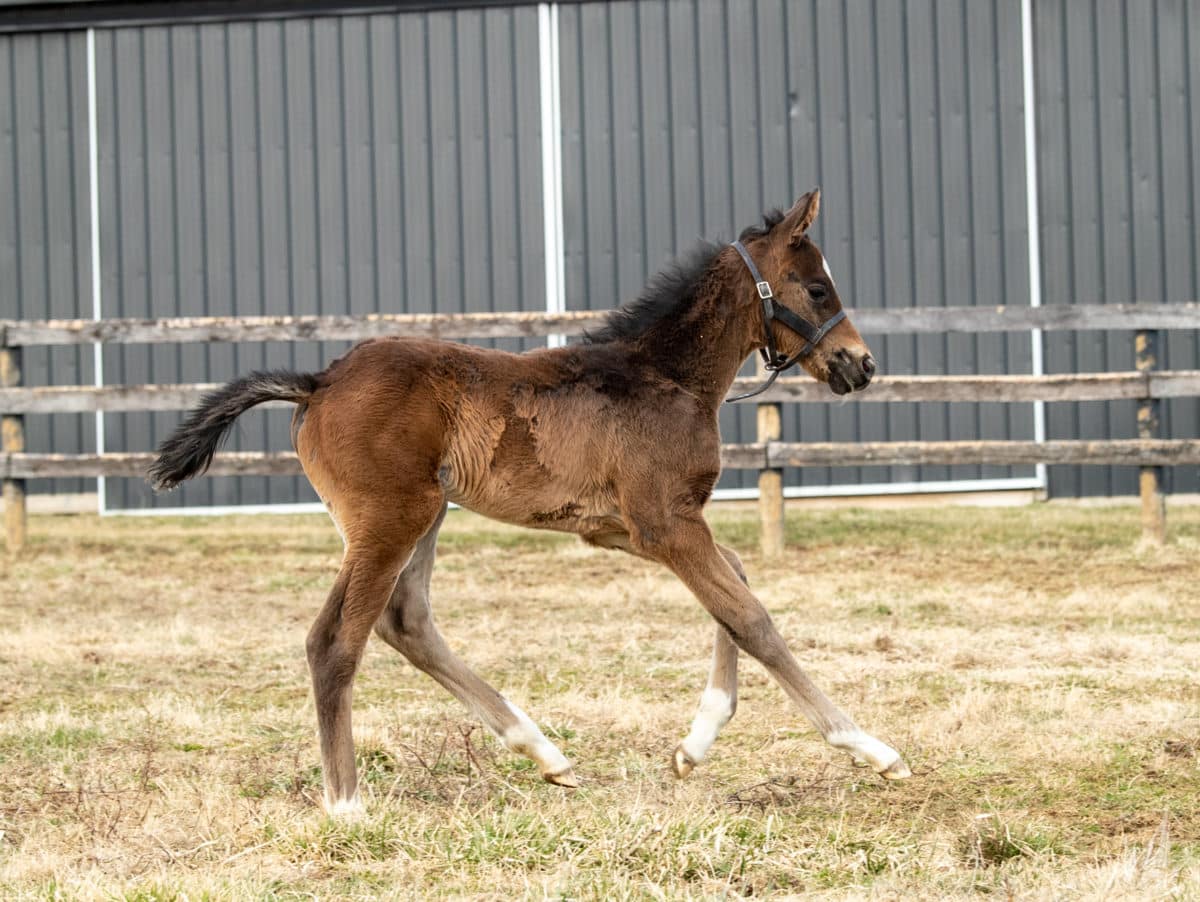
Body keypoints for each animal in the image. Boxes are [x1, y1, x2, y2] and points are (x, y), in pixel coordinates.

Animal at [154, 190, 912, 815]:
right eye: (816, 288)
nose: (862, 365)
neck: (663, 377)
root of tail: (319, 381)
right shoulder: (665, 524)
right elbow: (751, 618)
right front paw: (871, 750)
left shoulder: (628, 526)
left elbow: (736, 583)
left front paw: (694, 745)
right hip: (390, 518)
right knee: (335, 641)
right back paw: (347, 806)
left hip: (427, 512)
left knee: (407, 620)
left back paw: (545, 754)